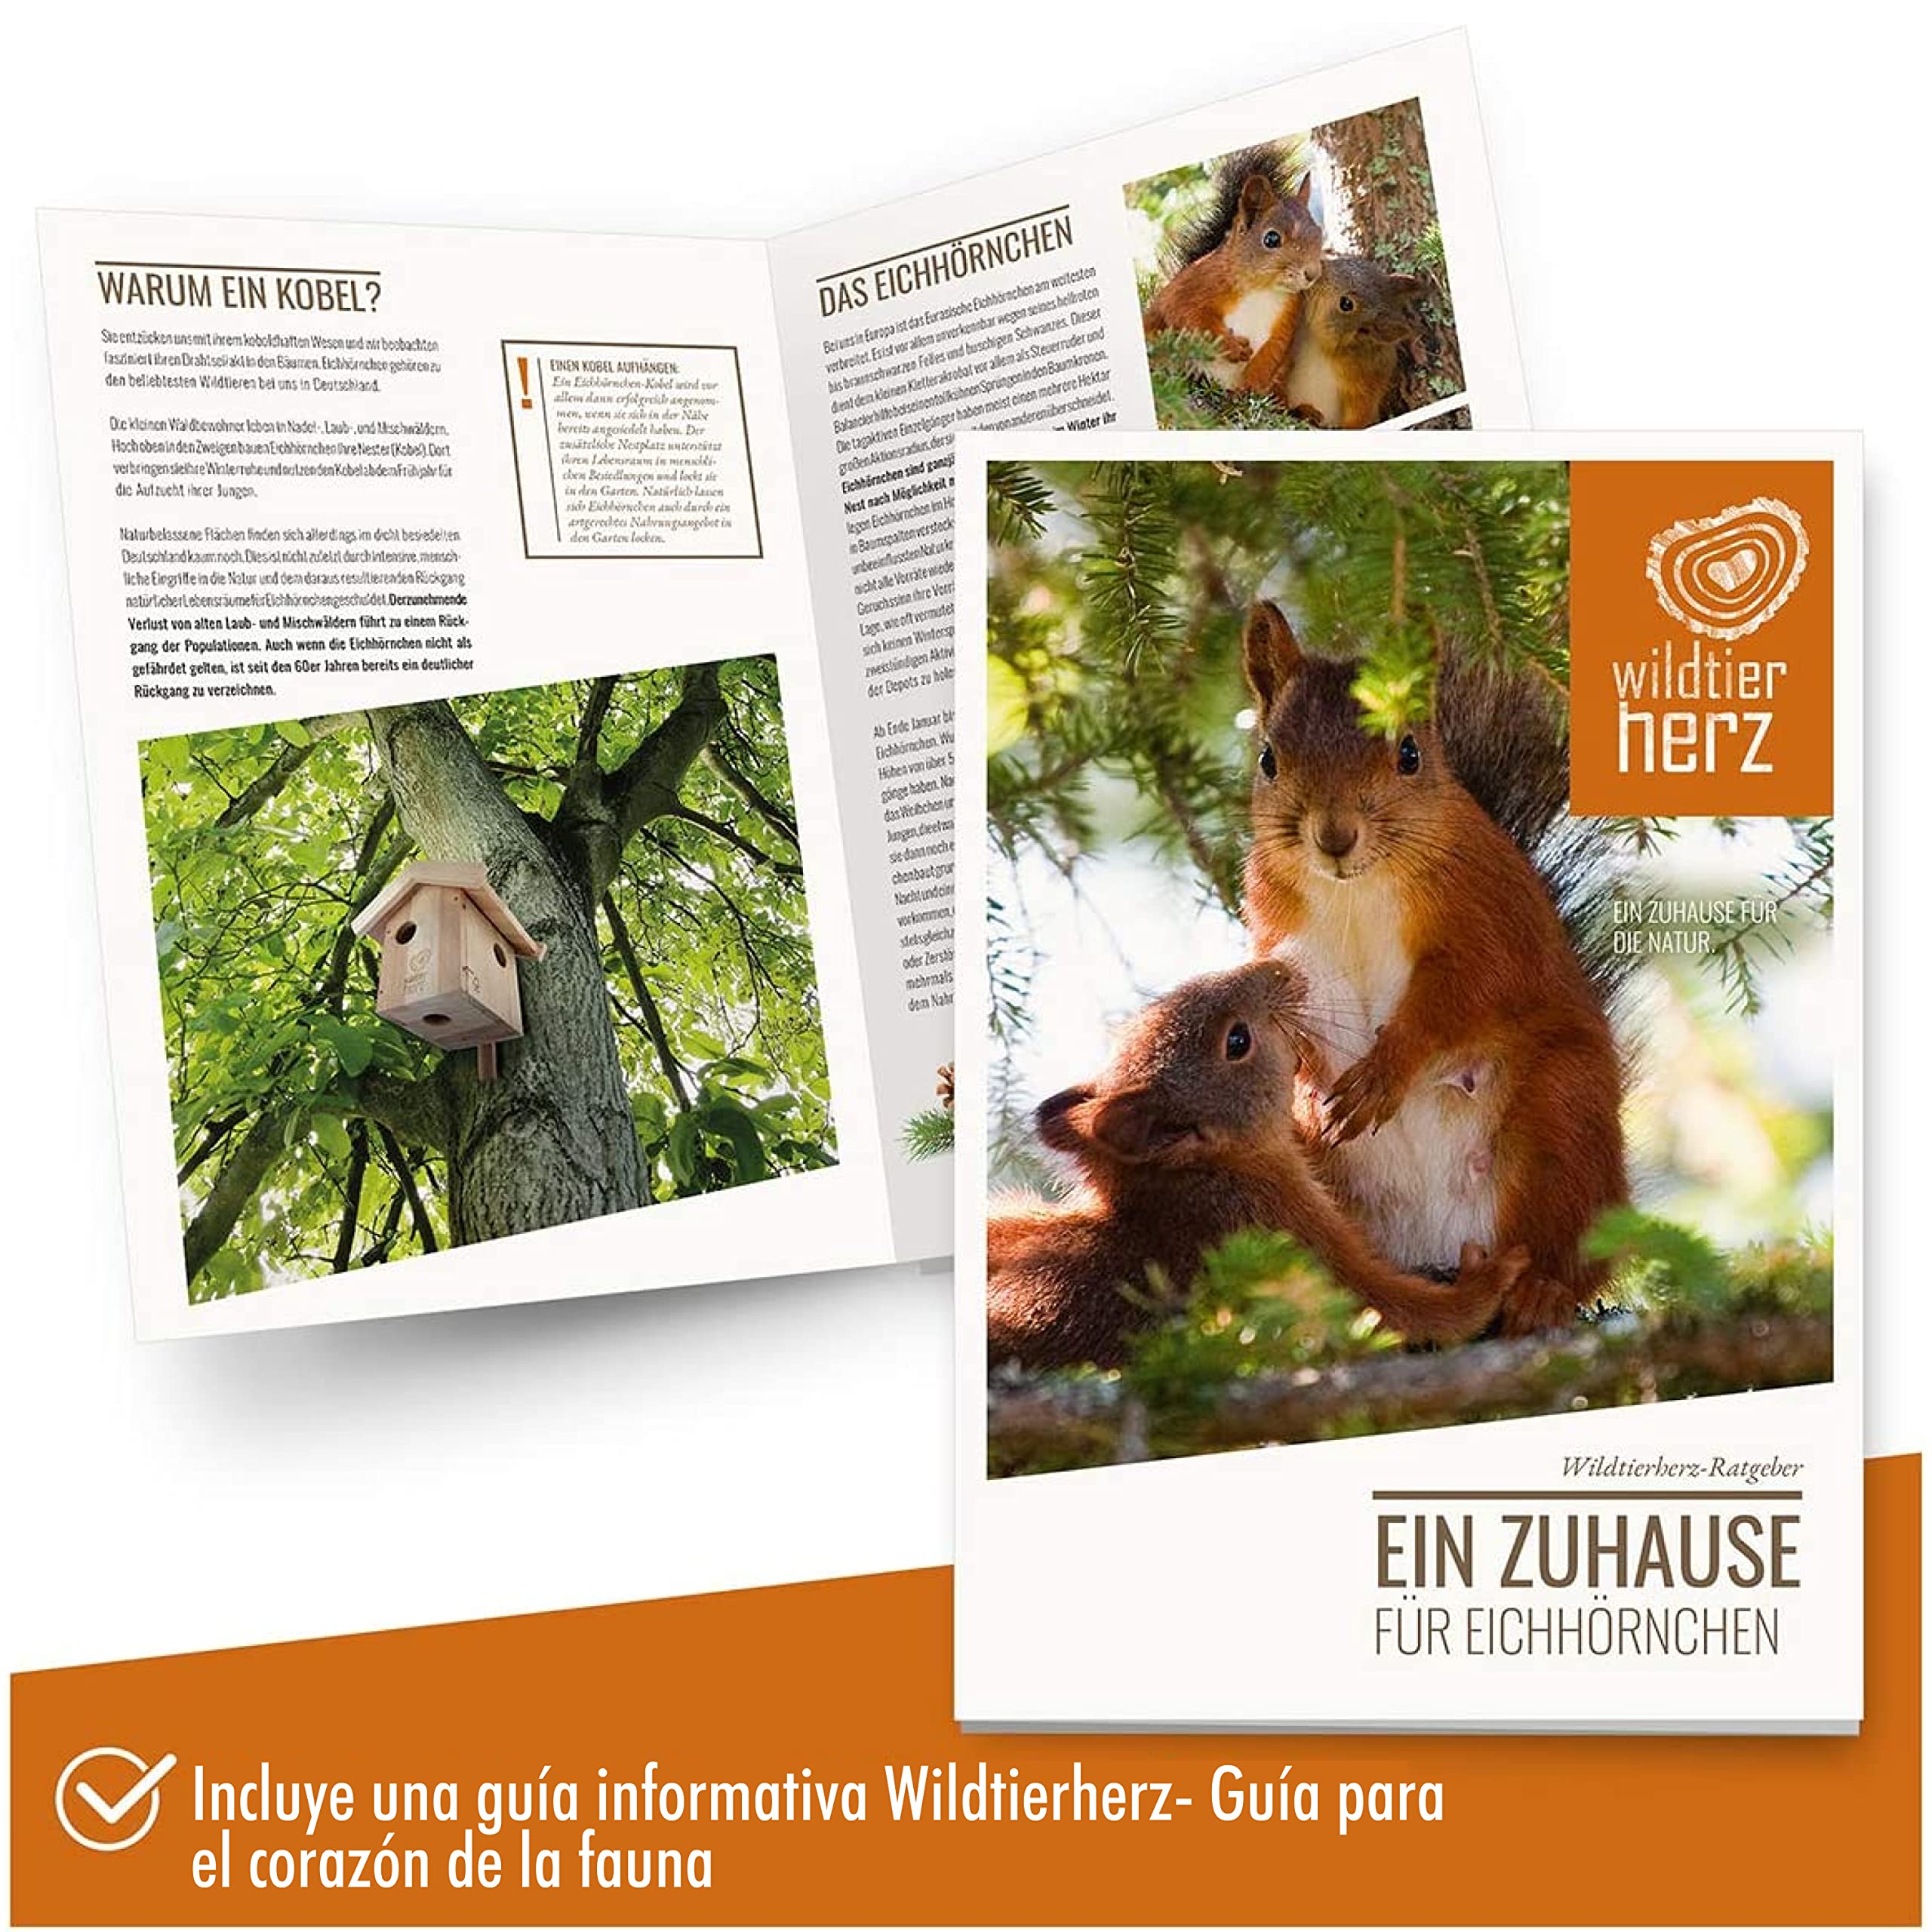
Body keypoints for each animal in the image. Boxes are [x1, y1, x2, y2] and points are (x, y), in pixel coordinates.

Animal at [986, 960, 1528, 1369]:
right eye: (1237, 1042)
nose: (1279, 968)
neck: (1197, 1177)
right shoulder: (1277, 1230)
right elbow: (1387, 1307)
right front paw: (1488, 1278)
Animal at [1142, 149, 1324, 395]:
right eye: (1272, 239)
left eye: (1319, 234)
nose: (1313, 273)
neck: (1263, 290)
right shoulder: (1198, 283)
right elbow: (1188, 314)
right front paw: (1232, 346)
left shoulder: (1288, 316)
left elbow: (1273, 351)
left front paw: (1251, 387)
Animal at [1239, 600, 1628, 1335]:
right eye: (1269, 759)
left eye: (1409, 753)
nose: (1334, 837)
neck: (1356, 890)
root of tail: (1444, 1244)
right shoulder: (1279, 943)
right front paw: (1296, 1075)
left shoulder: (1488, 921)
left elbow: (1466, 994)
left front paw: (1383, 1074)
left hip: (1566, 1115)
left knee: (1575, 1248)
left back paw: (1541, 1292)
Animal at [1274, 255, 1423, 430]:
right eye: (1352, 259)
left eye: (1346, 304)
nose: (1319, 267)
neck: (1320, 344)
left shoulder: (1369, 376)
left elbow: (1362, 412)